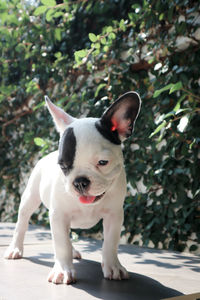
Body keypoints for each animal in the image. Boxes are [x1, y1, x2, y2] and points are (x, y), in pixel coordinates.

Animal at [3, 91, 141, 284]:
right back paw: (15, 248)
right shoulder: (58, 215)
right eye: (63, 166)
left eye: (103, 162)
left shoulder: (114, 215)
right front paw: (62, 270)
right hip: (30, 198)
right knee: (22, 223)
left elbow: (110, 243)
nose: (80, 181)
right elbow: (61, 244)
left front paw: (113, 266)